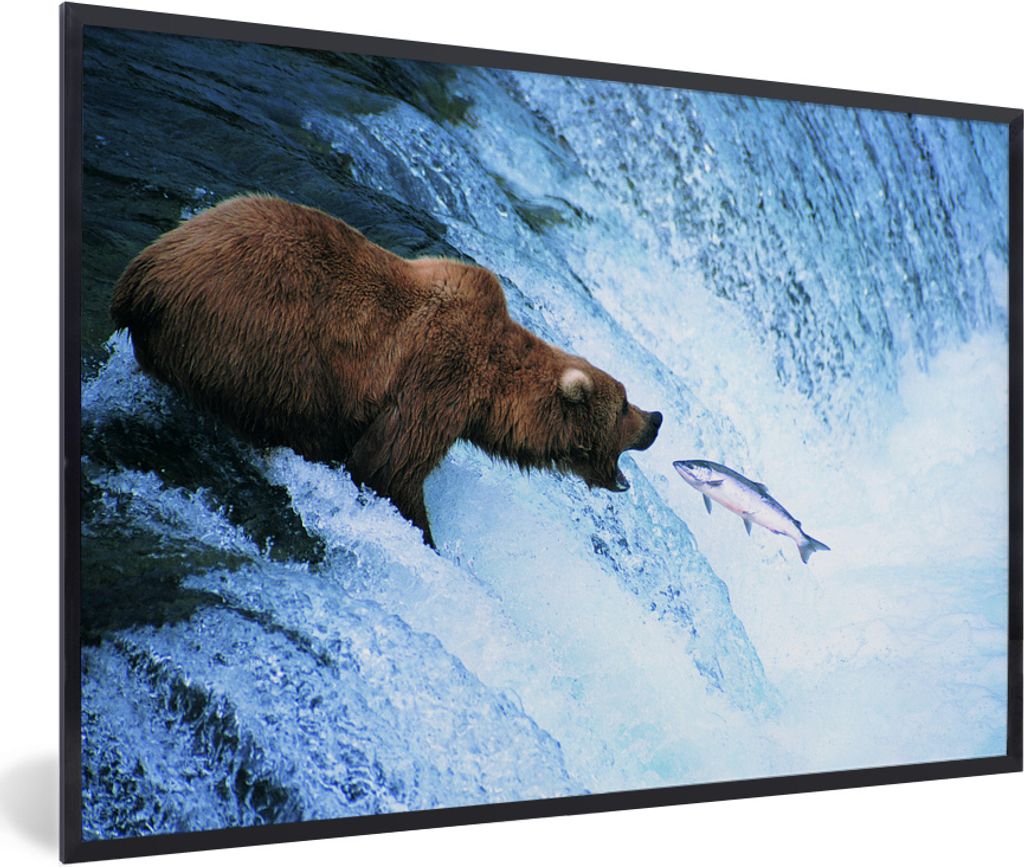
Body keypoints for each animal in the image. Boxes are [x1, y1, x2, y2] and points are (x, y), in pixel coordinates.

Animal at [110, 194, 662, 548]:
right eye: (623, 404)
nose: (656, 419)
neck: (491, 390)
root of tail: (143, 274)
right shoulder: (438, 380)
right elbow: (390, 466)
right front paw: (425, 536)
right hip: (256, 339)